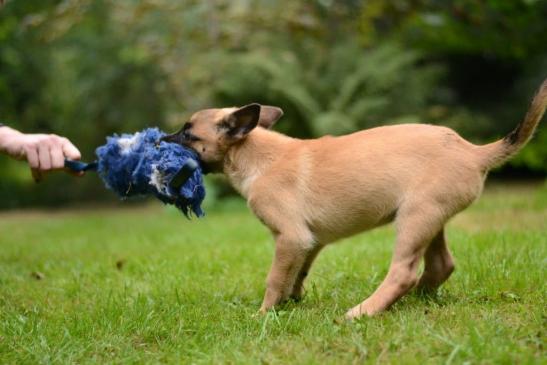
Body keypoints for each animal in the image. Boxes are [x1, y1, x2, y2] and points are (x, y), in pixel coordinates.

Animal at [164, 79, 547, 316]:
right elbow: (297, 273)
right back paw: (415, 299)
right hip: (431, 217)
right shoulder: (309, 242)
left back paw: (365, 311)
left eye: (187, 133)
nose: (158, 140)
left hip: (415, 218)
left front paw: (264, 313)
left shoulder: (291, 237)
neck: (255, 155)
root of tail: (473, 151)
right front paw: (292, 301)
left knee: (403, 272)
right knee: (441, 264)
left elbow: (274, 278)